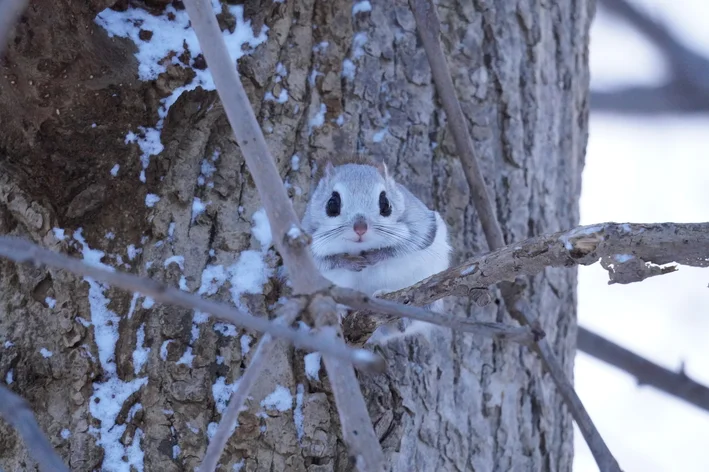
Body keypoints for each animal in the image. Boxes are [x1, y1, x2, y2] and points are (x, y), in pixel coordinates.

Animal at [302, 155, 450, 342]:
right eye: (332, 204)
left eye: (385, 204)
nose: (360, 228)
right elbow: (324, 260)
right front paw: (349, 261)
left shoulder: (422, 228)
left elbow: (400, 248)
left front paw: (373, 257)